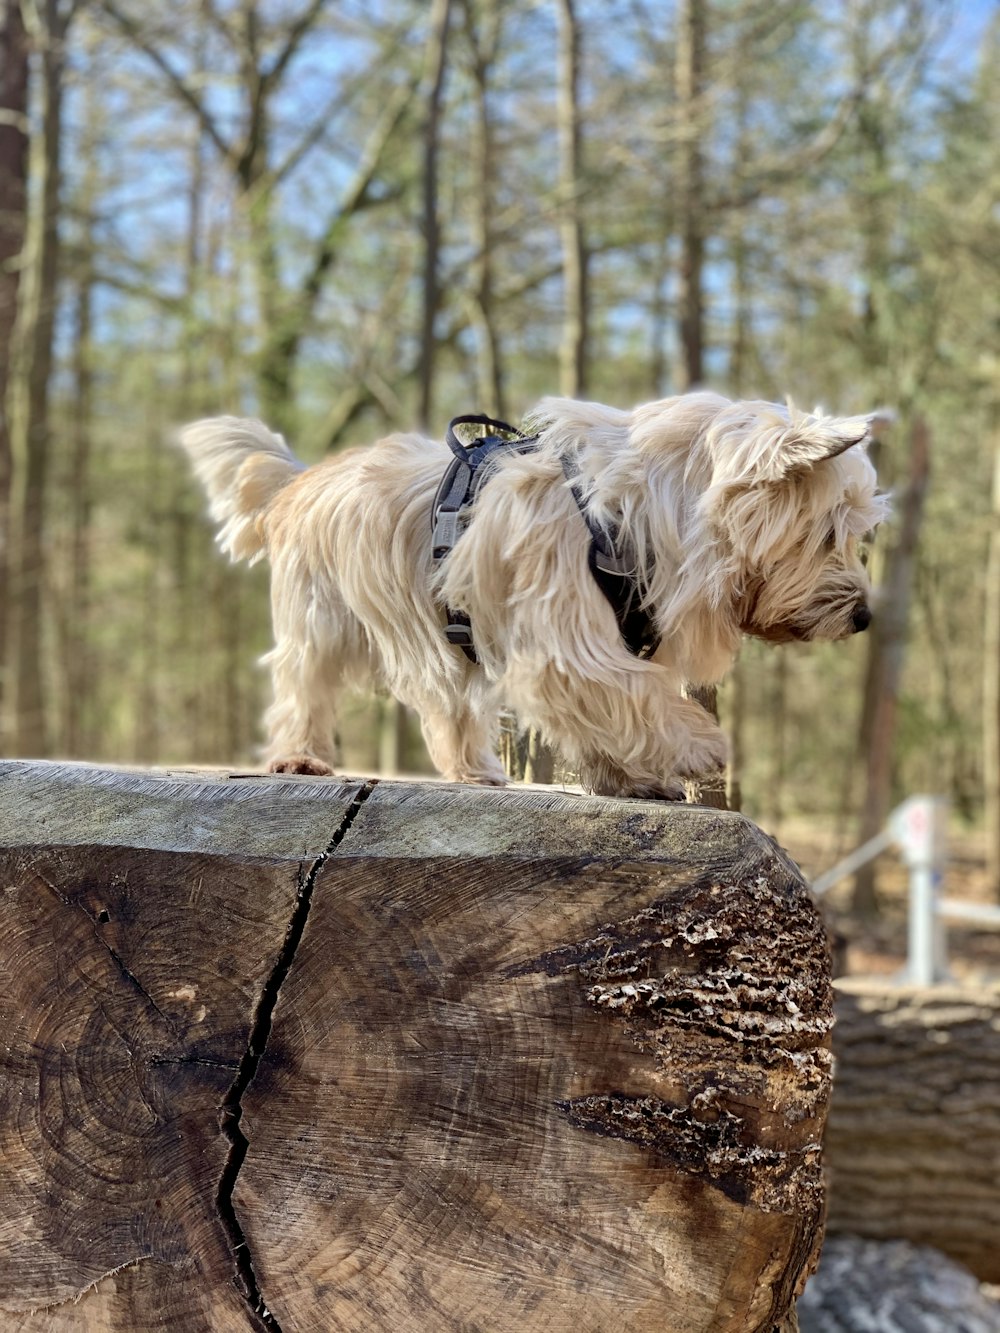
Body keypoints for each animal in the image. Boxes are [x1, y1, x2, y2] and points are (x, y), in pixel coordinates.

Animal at [180, 389, 890, 794]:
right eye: (831, 532)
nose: (864, 617)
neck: (638, 511)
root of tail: (296, 483)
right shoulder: (565, 638)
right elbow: (629, 690)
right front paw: (700, 747)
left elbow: (611, 707)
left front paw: (624, 777)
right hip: (320, 618)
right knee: (301, 687)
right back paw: (299, 758)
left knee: (449, 706)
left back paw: (473, 769)